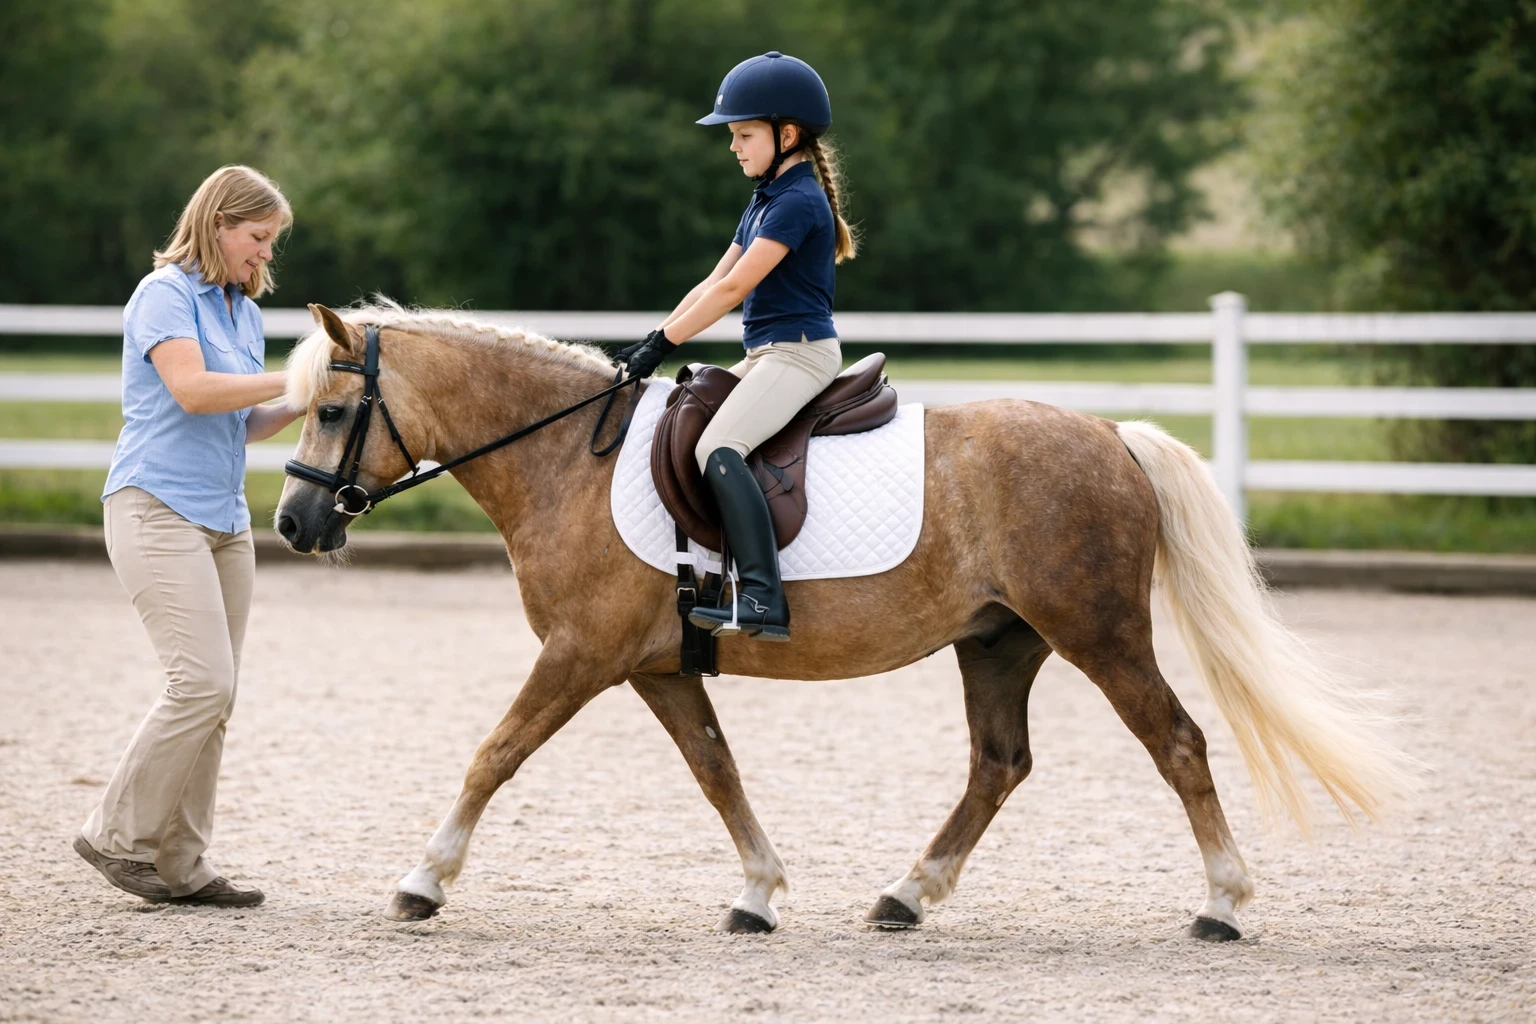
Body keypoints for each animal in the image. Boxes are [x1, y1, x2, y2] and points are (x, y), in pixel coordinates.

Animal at [276, 302, 1412, 940]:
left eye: (331, 412)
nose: (291, 522)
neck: (564, 459)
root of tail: (1106, 433)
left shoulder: (579, 654)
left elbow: (493, 753)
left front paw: (422, 882)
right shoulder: (654, 665)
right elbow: (716, 769)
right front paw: (759, 894)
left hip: (1098, 634)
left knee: (1175, 742)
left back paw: (1221, 904)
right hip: (1000, 641)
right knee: (999, 764)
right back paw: (906, 895)